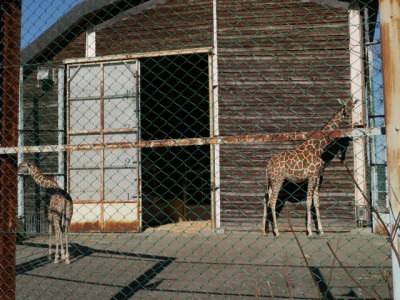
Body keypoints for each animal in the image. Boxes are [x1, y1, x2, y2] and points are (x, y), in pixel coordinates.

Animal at [264, 98, 354, 237]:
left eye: (352, 106)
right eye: (344, 106)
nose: (348, 114)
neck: (318, 147)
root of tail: (268, 165)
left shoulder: (316, 177)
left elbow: (316, 203)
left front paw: (321, 231)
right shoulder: (311, 176)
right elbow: (308, 202)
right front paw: (310, 232)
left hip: (270, 181)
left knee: (266, 200)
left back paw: (265, 230)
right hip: (278, 179)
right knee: (272, 201)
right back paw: (276, 232)